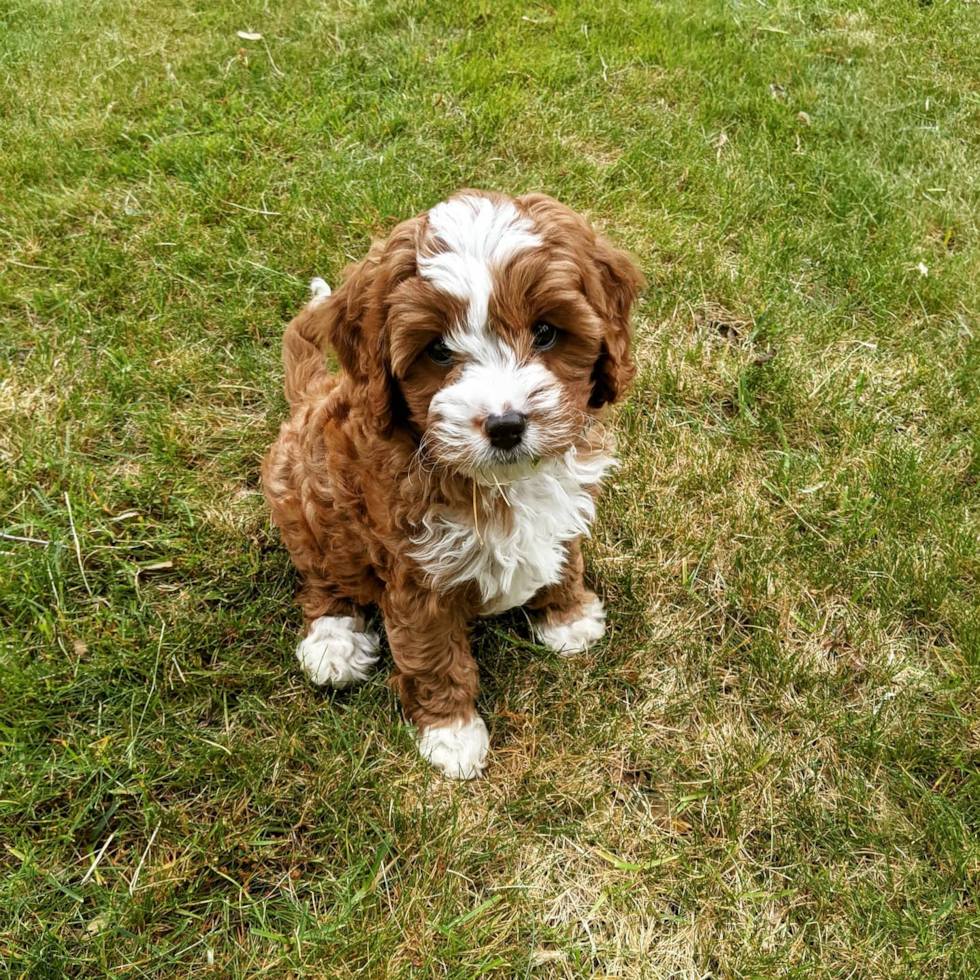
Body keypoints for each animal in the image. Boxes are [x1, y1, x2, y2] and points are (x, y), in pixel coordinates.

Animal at [260, 188, 644, 776]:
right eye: (438, 350)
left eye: (546, 332)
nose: (506, 425)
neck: (499, 482)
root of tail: (307, 397)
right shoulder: (416, 574)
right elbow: (433, 655)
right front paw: (452, 734)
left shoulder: (564, 512)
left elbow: (565, 558)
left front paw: (568, 617)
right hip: (310, 506)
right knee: (322, 579)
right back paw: (334, 642)